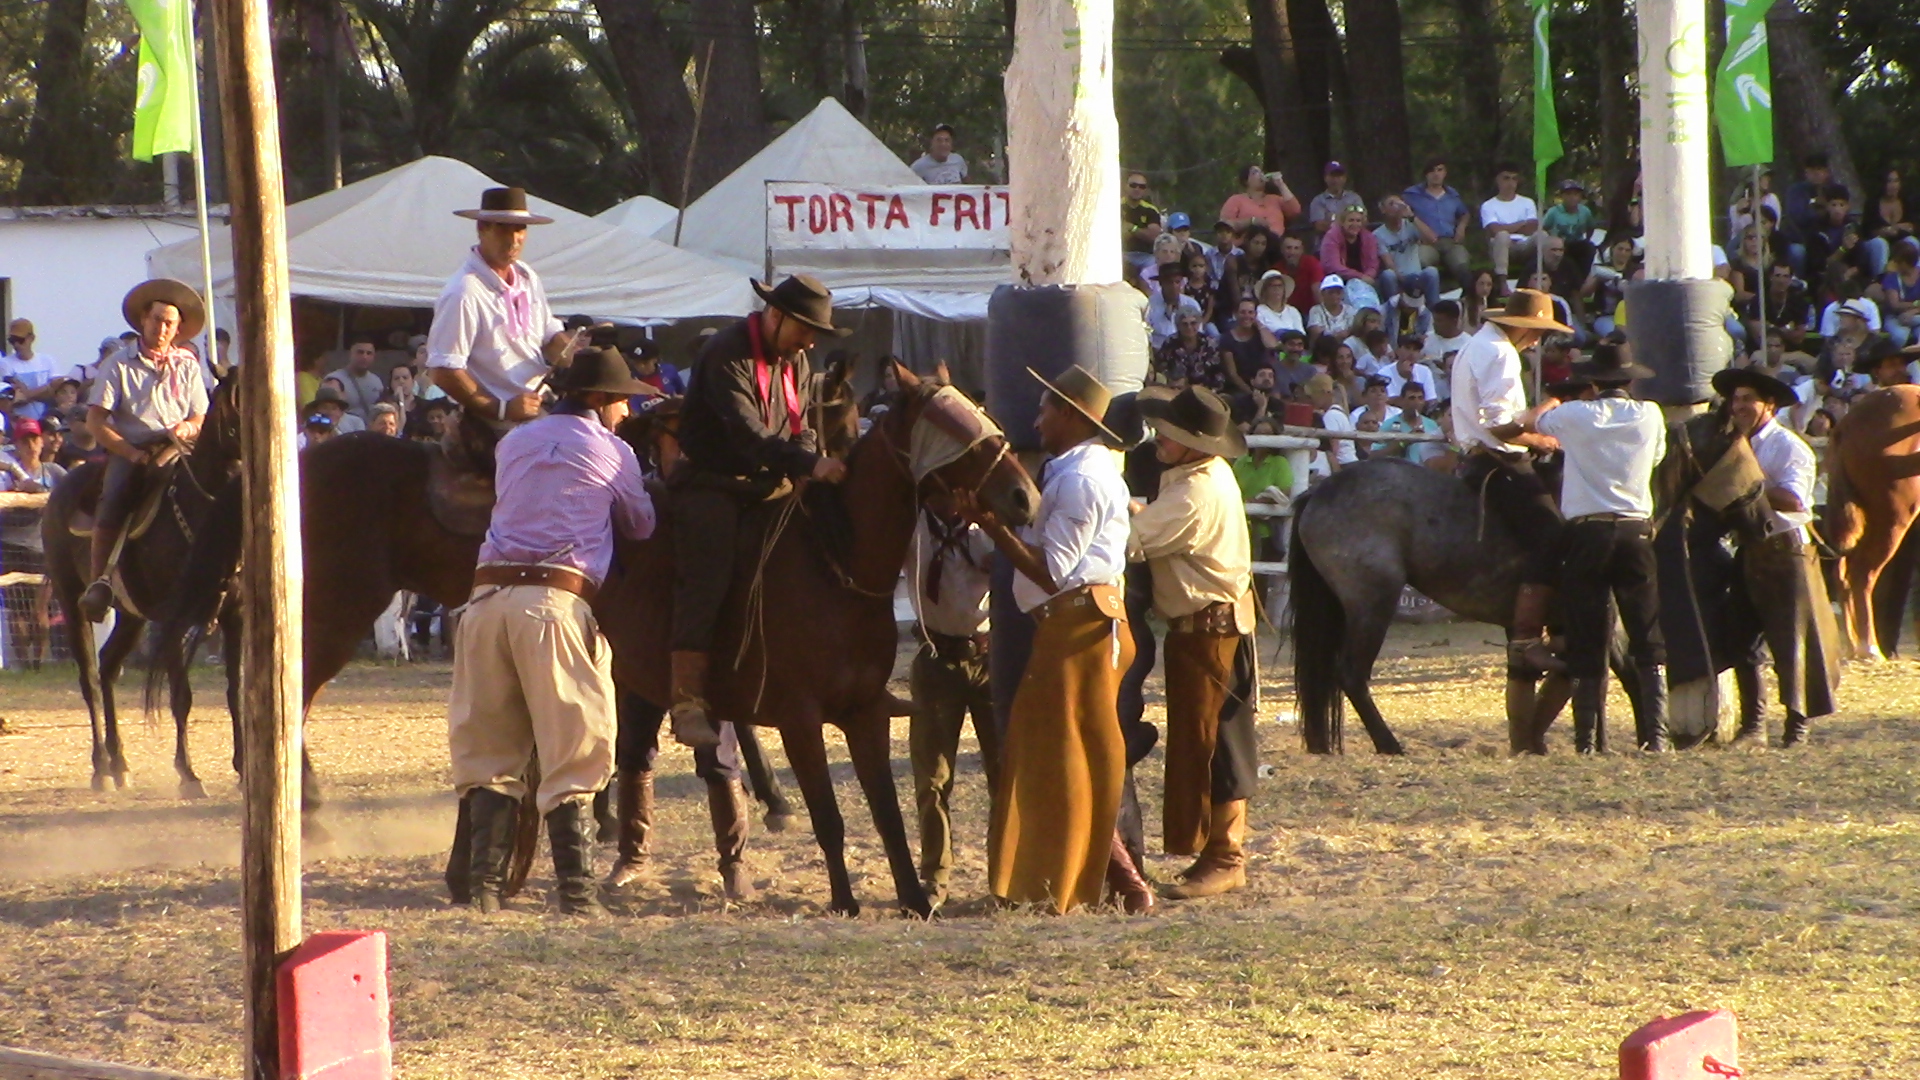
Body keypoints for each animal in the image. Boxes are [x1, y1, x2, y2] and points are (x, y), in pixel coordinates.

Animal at [40, 368, 245, 791]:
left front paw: (243, 766)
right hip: (71, 599)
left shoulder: (235, 614)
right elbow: (180, 695)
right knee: (89, 678)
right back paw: (101, 767)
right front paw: (188, 774)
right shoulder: (171, 618)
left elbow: (236, 691)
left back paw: (120, 764)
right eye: (230, 406)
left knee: (107, 669)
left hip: (132, 617)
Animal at [602, 365, 1044, 910]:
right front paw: (844, 901)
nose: (1026, 497)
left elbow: (887, 813)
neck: (834, 563)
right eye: (951, 429)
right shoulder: (801, 719)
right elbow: (828, 817)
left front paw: (915, 899)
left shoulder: (865, 713)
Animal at [1812, 382, 1920, 661]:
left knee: (1842, 572)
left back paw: (1854, 645)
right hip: (1892, 518)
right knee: (1862, 573)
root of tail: (1849, 422)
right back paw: (1869, 647)